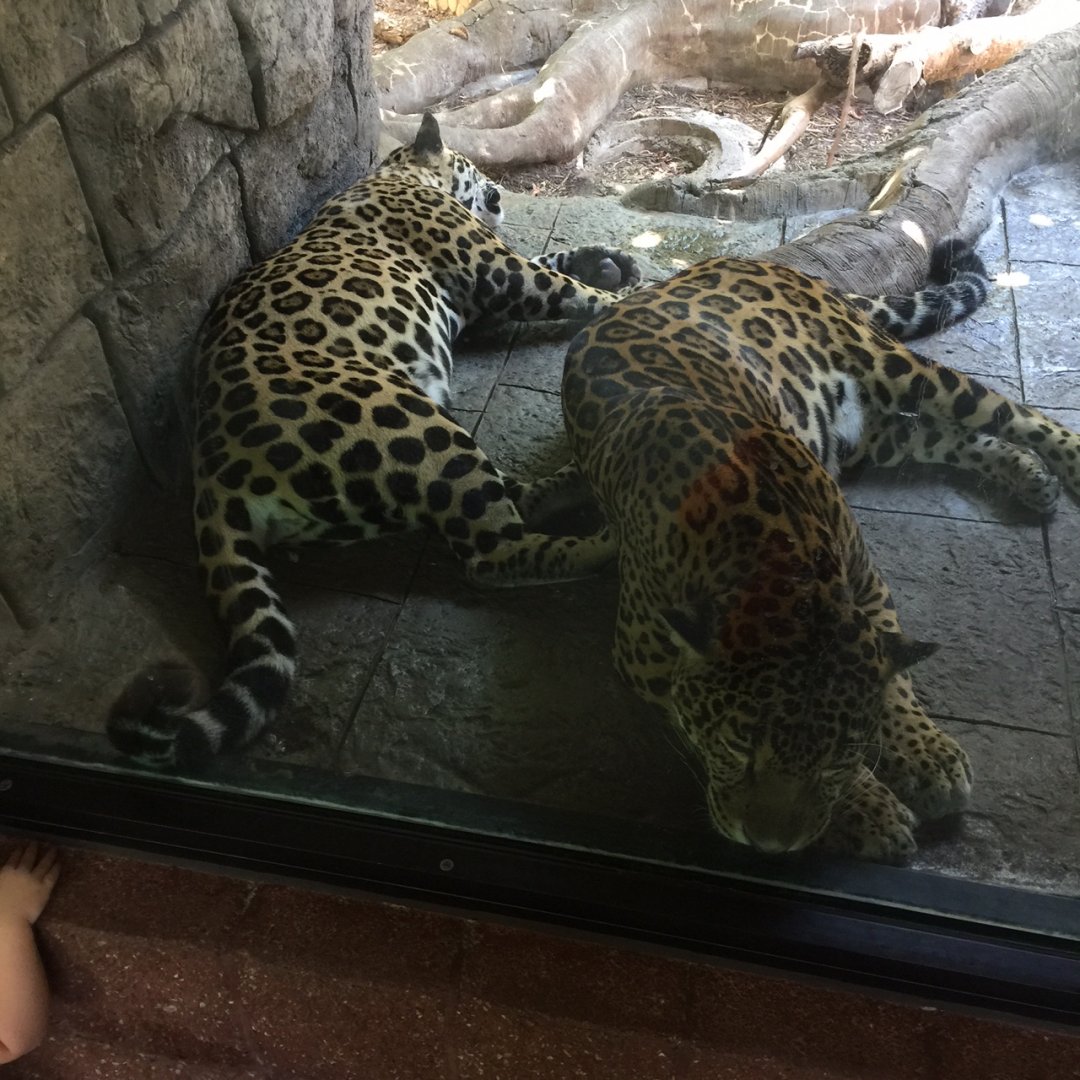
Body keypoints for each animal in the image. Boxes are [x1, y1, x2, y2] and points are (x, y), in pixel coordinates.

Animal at [107, 112, 642, 771]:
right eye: (473, 165)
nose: (500, 193)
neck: (398, 172)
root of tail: (212, 471)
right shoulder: (496, 271)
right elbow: (561, 284)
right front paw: (629, 298)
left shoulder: (483, 297)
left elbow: (552, 257)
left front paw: (608, 260)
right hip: (410, 422)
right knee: (492, 552)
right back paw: (607, 544)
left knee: (505, 501)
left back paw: (578, 487)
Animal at [561, 251, 1080, 863]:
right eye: (737, 747)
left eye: (832, 762)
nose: (768, 844)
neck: (776, 555)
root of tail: (739, 261)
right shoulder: (645, 664)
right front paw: (873, 810)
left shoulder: (868, 583)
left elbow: (890, 681)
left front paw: (923, 755)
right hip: (880, 434)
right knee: (952, 438)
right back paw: (1030, 476)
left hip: (898, 368)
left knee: (1015, 413)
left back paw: (1065, 463)